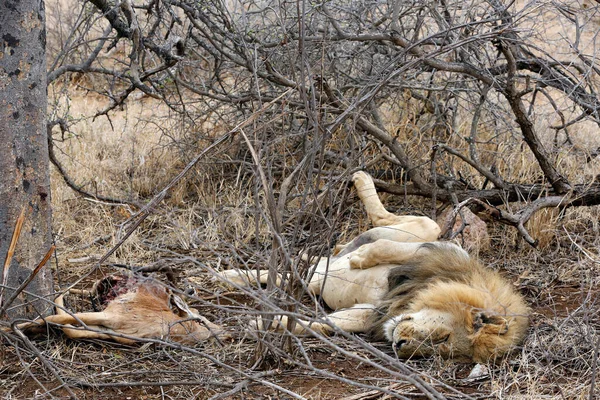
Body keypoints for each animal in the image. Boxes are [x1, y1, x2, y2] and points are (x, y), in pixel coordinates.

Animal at [221, 172, 528, 362]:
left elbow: (325, 324)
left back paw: (228, 277)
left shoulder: (372, 312)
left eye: (437, 351)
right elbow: (402, 245)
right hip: (406, 230)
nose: (399, 345)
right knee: (400, 221)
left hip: (309, 279)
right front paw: (362, 258)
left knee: (286, 275)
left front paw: (264, 324)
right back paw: (361, 183)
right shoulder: (444, 251)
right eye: (444, 337)